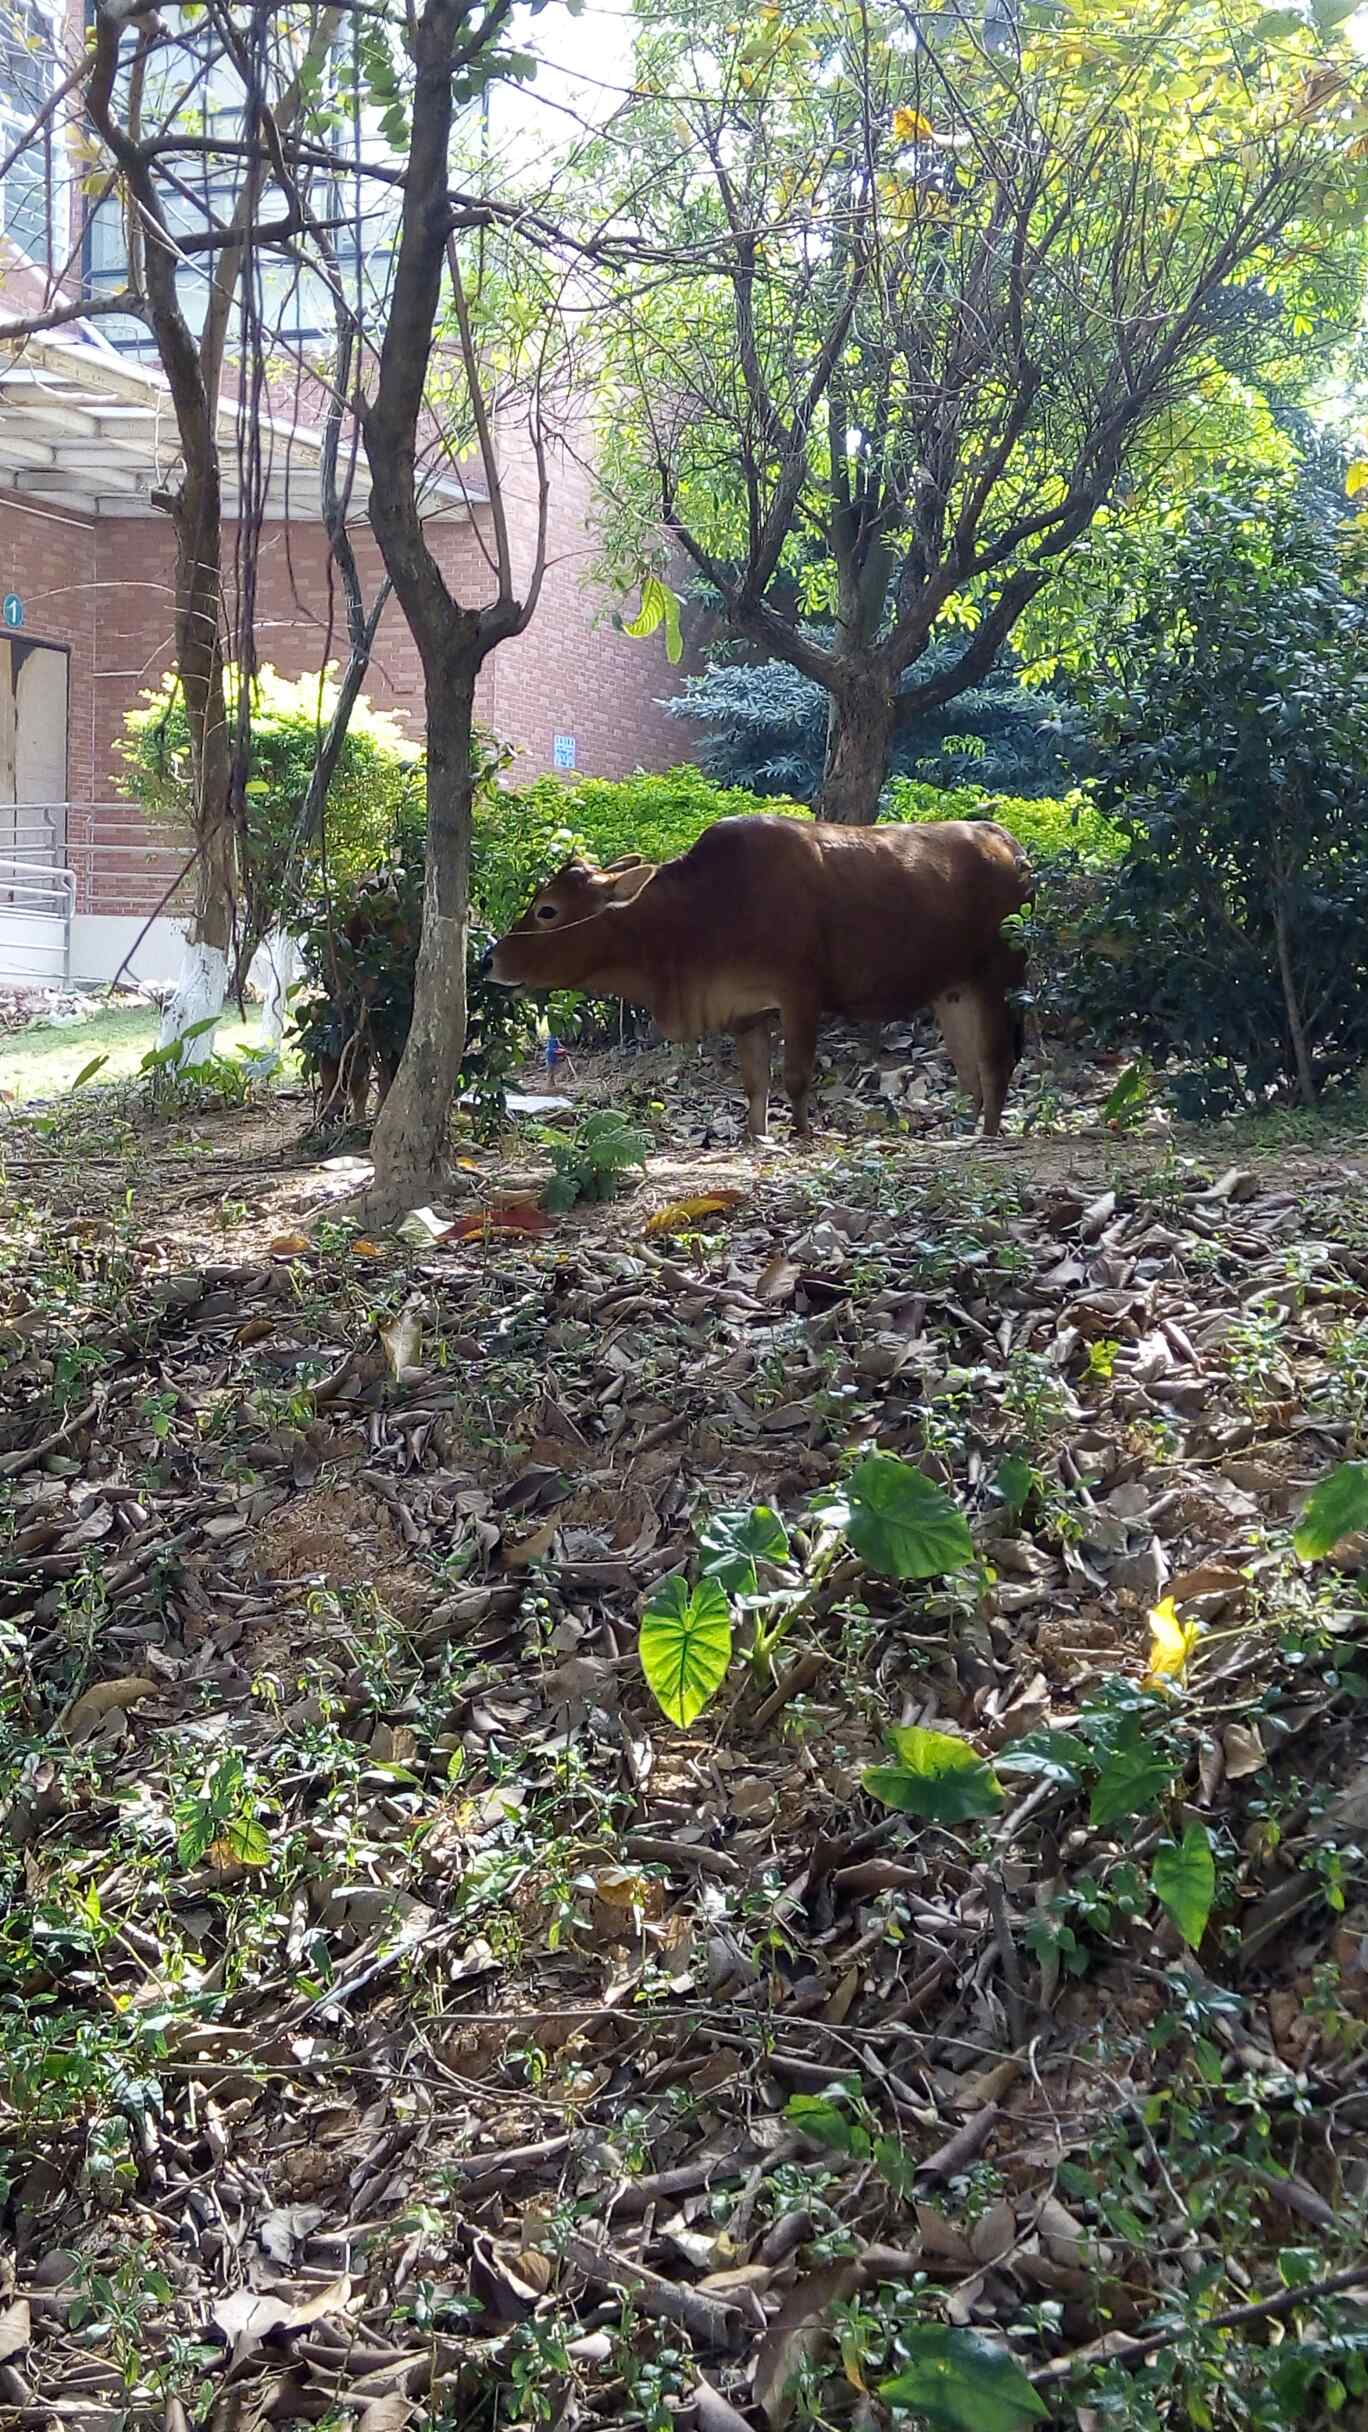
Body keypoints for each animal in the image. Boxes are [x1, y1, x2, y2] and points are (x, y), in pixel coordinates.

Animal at [484, 807, 1027, 1128]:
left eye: (548, 910)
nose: (489, 958)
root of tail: (1006, 841)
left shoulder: (800, 995)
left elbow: (796, 1077)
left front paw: (801, 1136)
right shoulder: (745, 1011)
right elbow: (755, 1085)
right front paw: (755, 1135)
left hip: (996, 980)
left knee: (996, 1061)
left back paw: (988, 1134)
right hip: (953, 990)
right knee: (970, 1072)